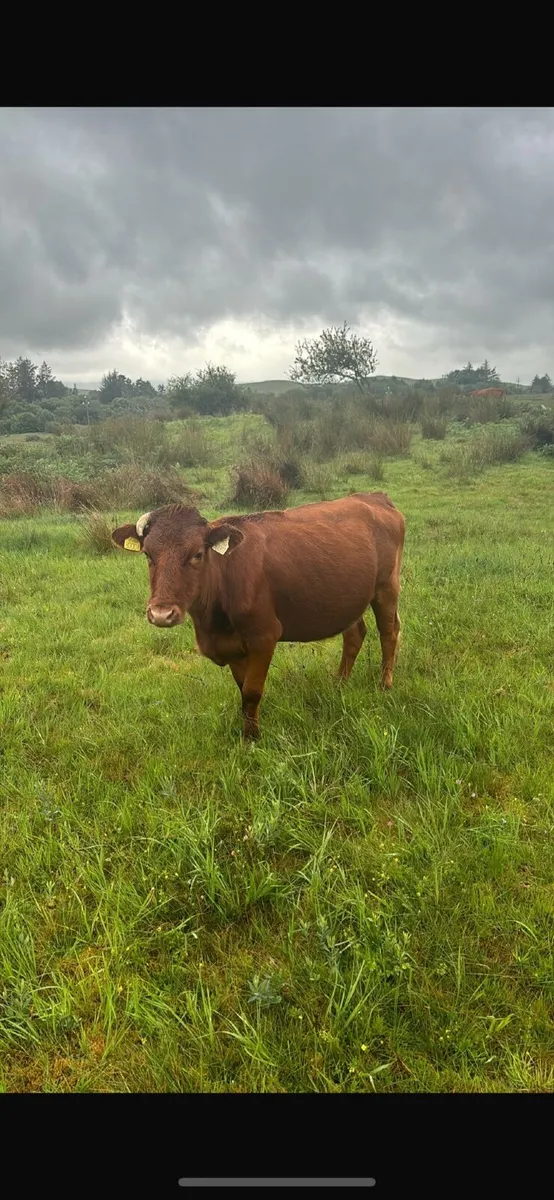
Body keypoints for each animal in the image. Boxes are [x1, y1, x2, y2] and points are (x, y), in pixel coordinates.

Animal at [111, 492, 406, 740]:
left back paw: (385, 685)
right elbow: (242, 689)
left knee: (389, 632)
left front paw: (252, 738)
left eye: (197, 554)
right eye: (148, 555)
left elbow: (252, 691)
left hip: (386, 587)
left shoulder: (264, 636)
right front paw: (246, 730)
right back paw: (339, 684)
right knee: (354, 634)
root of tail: (374, 497)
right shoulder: (233, 646)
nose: (161, 614)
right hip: (348, 598)